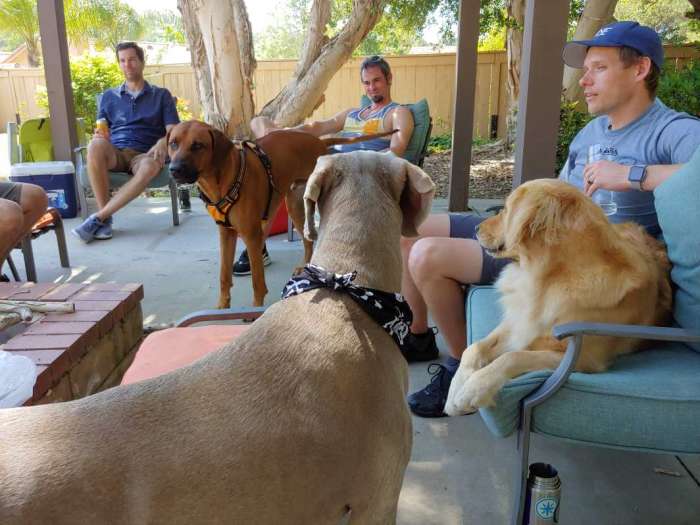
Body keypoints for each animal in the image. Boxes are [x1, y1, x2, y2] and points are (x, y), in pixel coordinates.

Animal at [164, 121, 394, 310]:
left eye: (197, 145)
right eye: (173, 143)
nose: (174, 169)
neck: (223, 180)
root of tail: (318, 141)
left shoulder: (250, 235)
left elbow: (257, 282)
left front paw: (254, 310)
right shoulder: (226, 233)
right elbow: (223, 276)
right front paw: (222, 307)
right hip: (293, 205)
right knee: (307, 239)